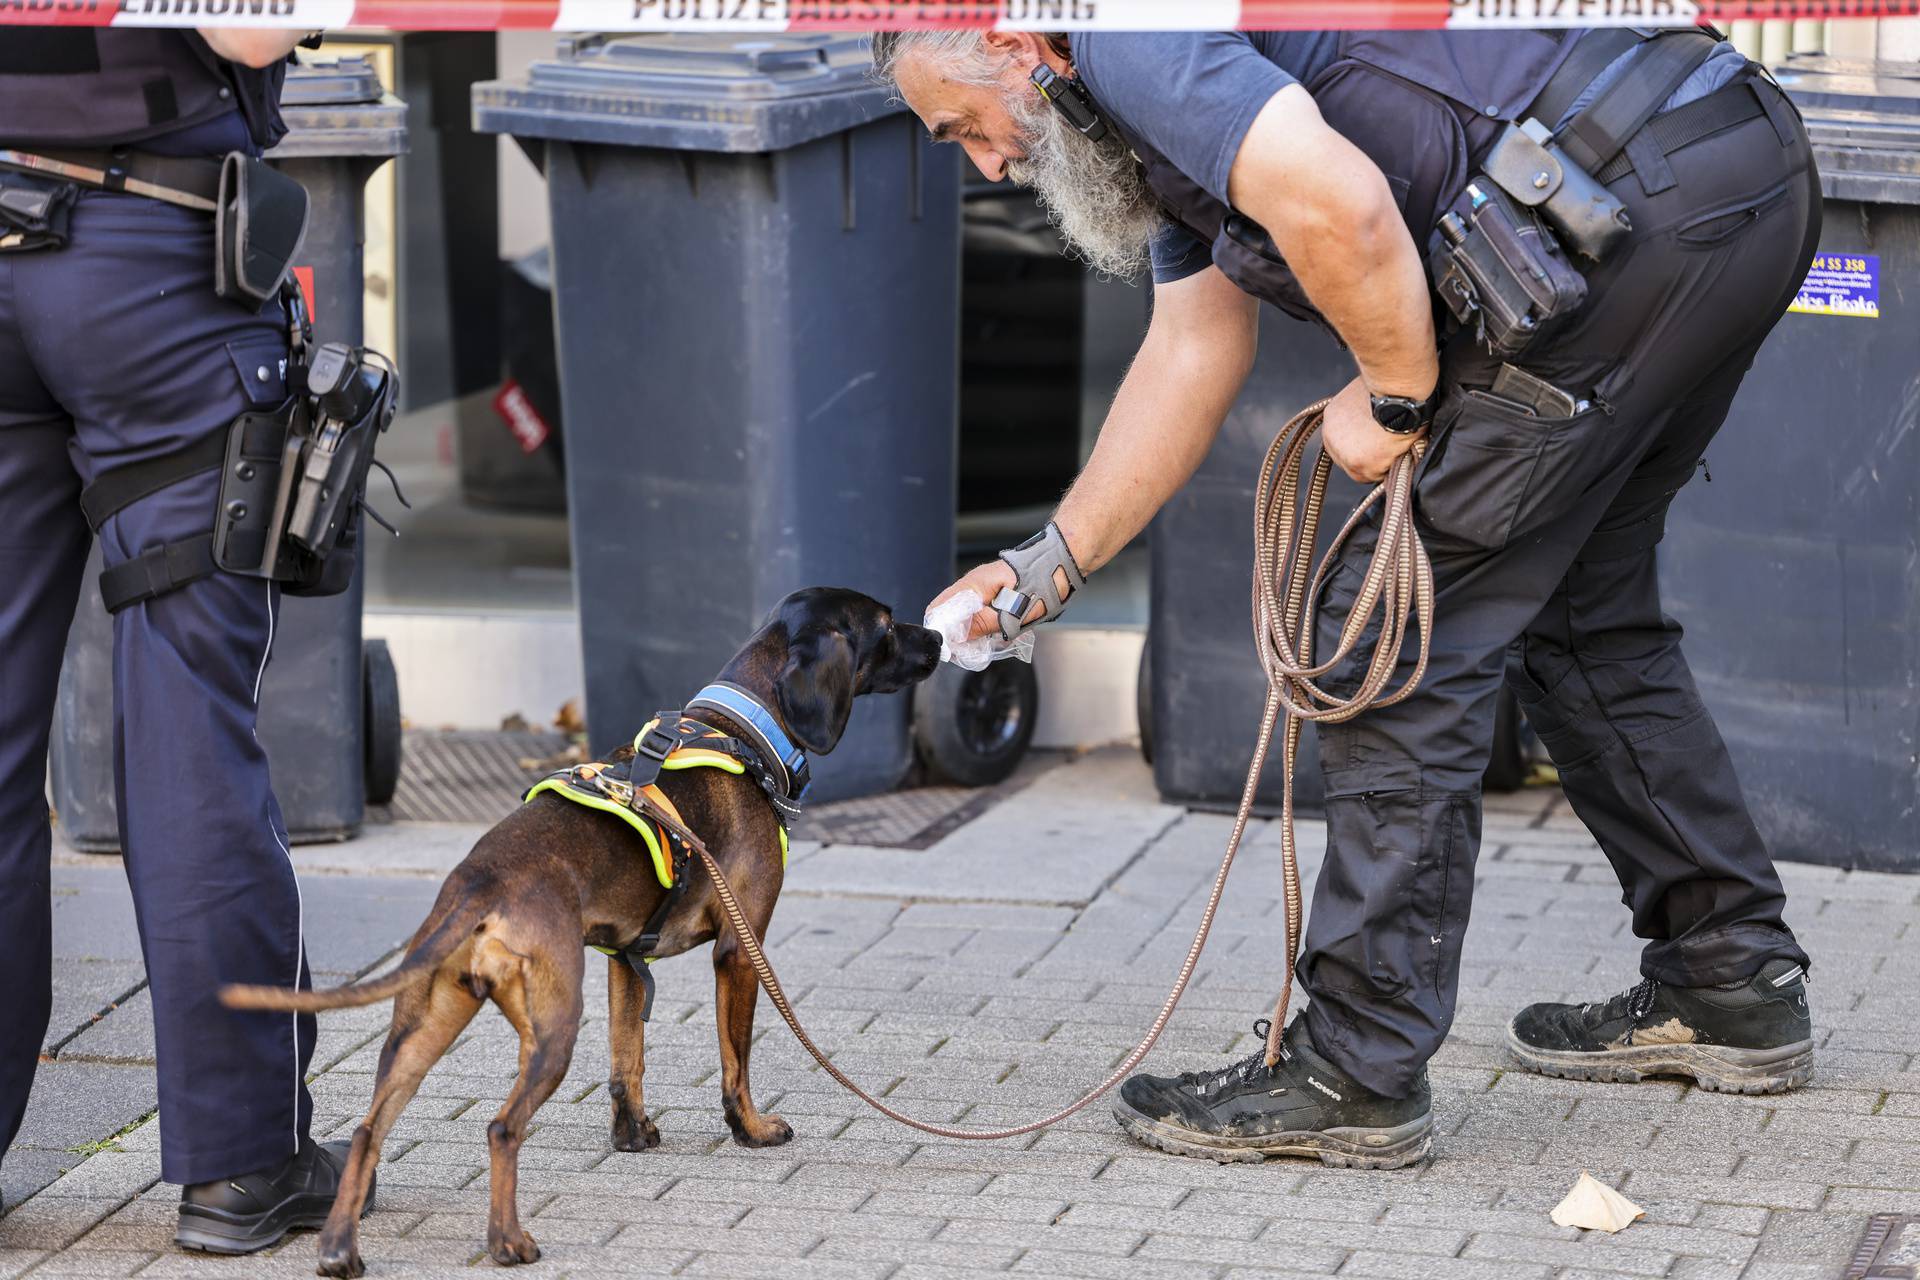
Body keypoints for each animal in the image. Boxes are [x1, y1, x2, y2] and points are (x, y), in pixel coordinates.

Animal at [224, 587, 944, 1274]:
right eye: (886, 625)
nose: (937, 637)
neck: (739, 729)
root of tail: (482, 881)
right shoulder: (741, 953)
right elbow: (735, 1062)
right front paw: (752, 1130)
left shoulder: (625, 961)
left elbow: (628, 1062)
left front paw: (633, 1135)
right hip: (552, 1030)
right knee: (501, 1129)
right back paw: (508, 1242)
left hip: (422, 1028)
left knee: (370, 1131)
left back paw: (340, 1250)